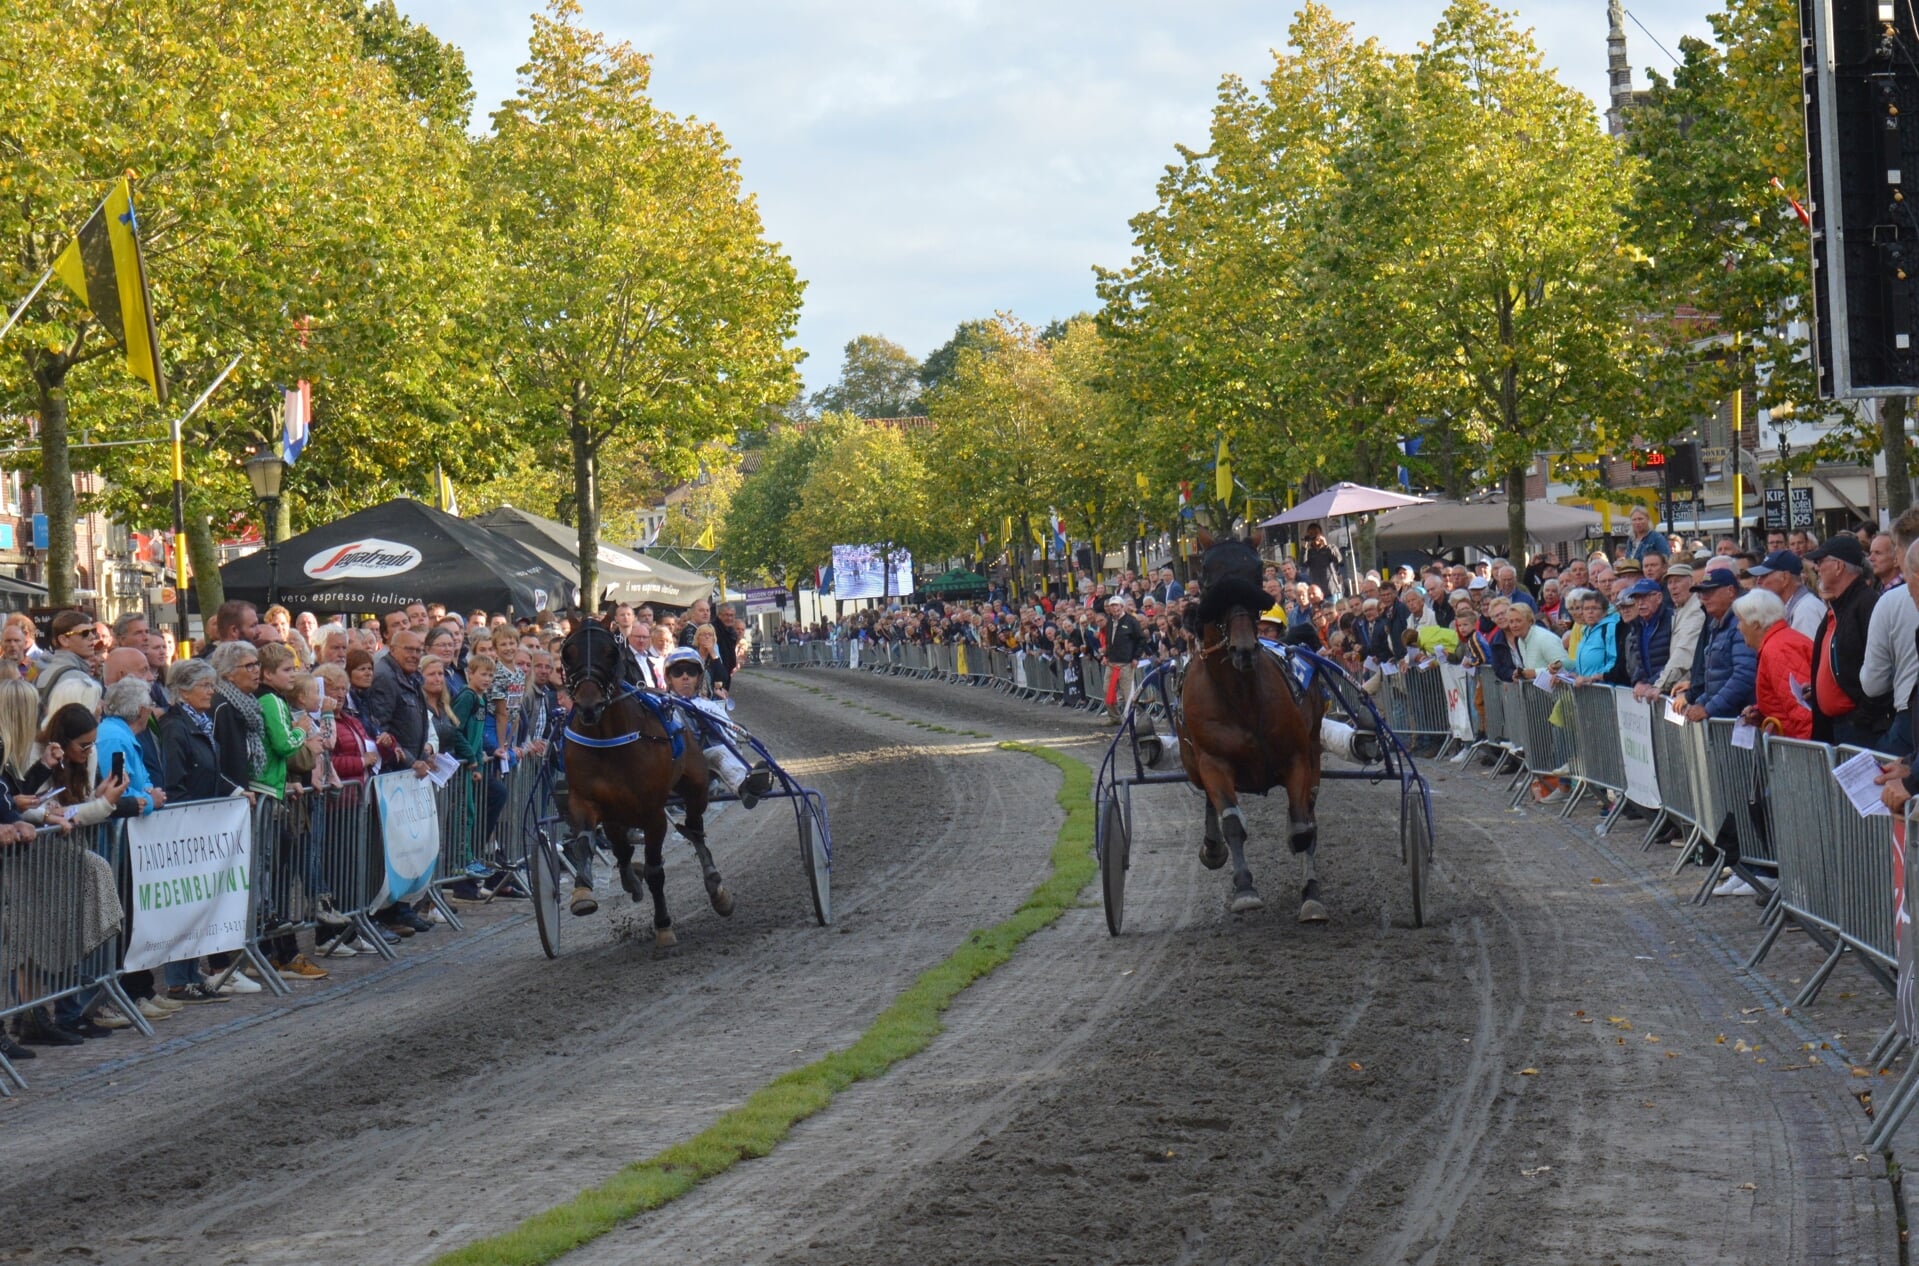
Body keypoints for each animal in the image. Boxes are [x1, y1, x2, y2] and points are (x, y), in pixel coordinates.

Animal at [560, 621, 733, 951]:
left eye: (610, 652)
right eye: (568, 653)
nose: (588, 706)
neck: (607, 740)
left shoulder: (653, 813)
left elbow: (656, 871)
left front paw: (663, 926)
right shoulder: (583, 800)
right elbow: (584, 842)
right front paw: (582, 893)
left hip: (695, 789)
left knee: (695, 830)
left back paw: (716, 886)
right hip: (616, 813)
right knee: (622, 846)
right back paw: (630, 877)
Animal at [1166, 533, 1335, 920]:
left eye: (1257, 574)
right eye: (1208, 579)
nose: (1242, 648)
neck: (1242, 698)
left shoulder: (1297, 758)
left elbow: (1303, 827)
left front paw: (1311, 892)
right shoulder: (1213, 762)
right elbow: (1231, 820)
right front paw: (1244, 888)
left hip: (1313, 749)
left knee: (1309, 812)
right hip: (1191, 760)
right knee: (1210, 803)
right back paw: (1213, 848)